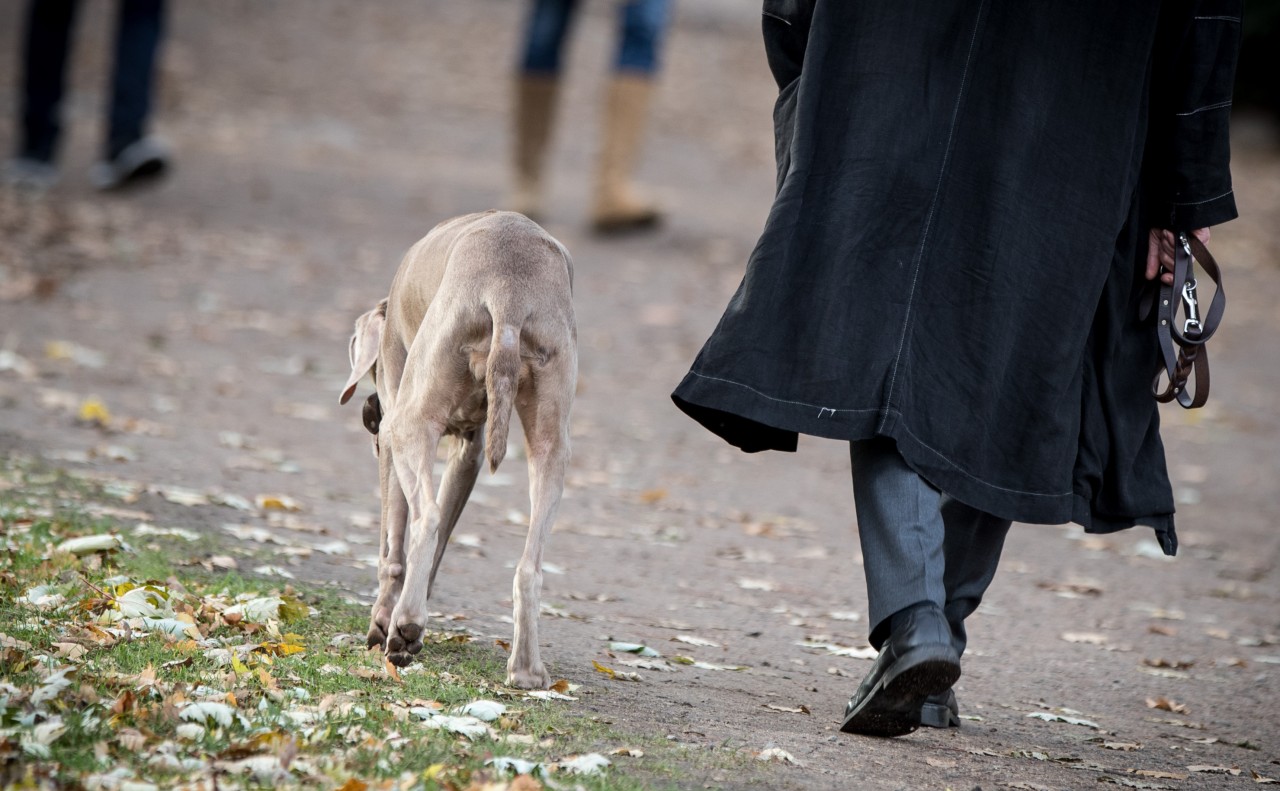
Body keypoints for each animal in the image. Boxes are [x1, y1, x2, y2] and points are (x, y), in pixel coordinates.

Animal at [343, 209, 578, 686]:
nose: (368, 414)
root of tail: (509, 293)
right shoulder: (471, 450)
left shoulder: (394, 430)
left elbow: (392, 545)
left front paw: (384, 622)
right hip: (553, 433)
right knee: (529, 565)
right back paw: (526, 672)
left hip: (410, 421)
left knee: (425, 519)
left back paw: (406, 624)